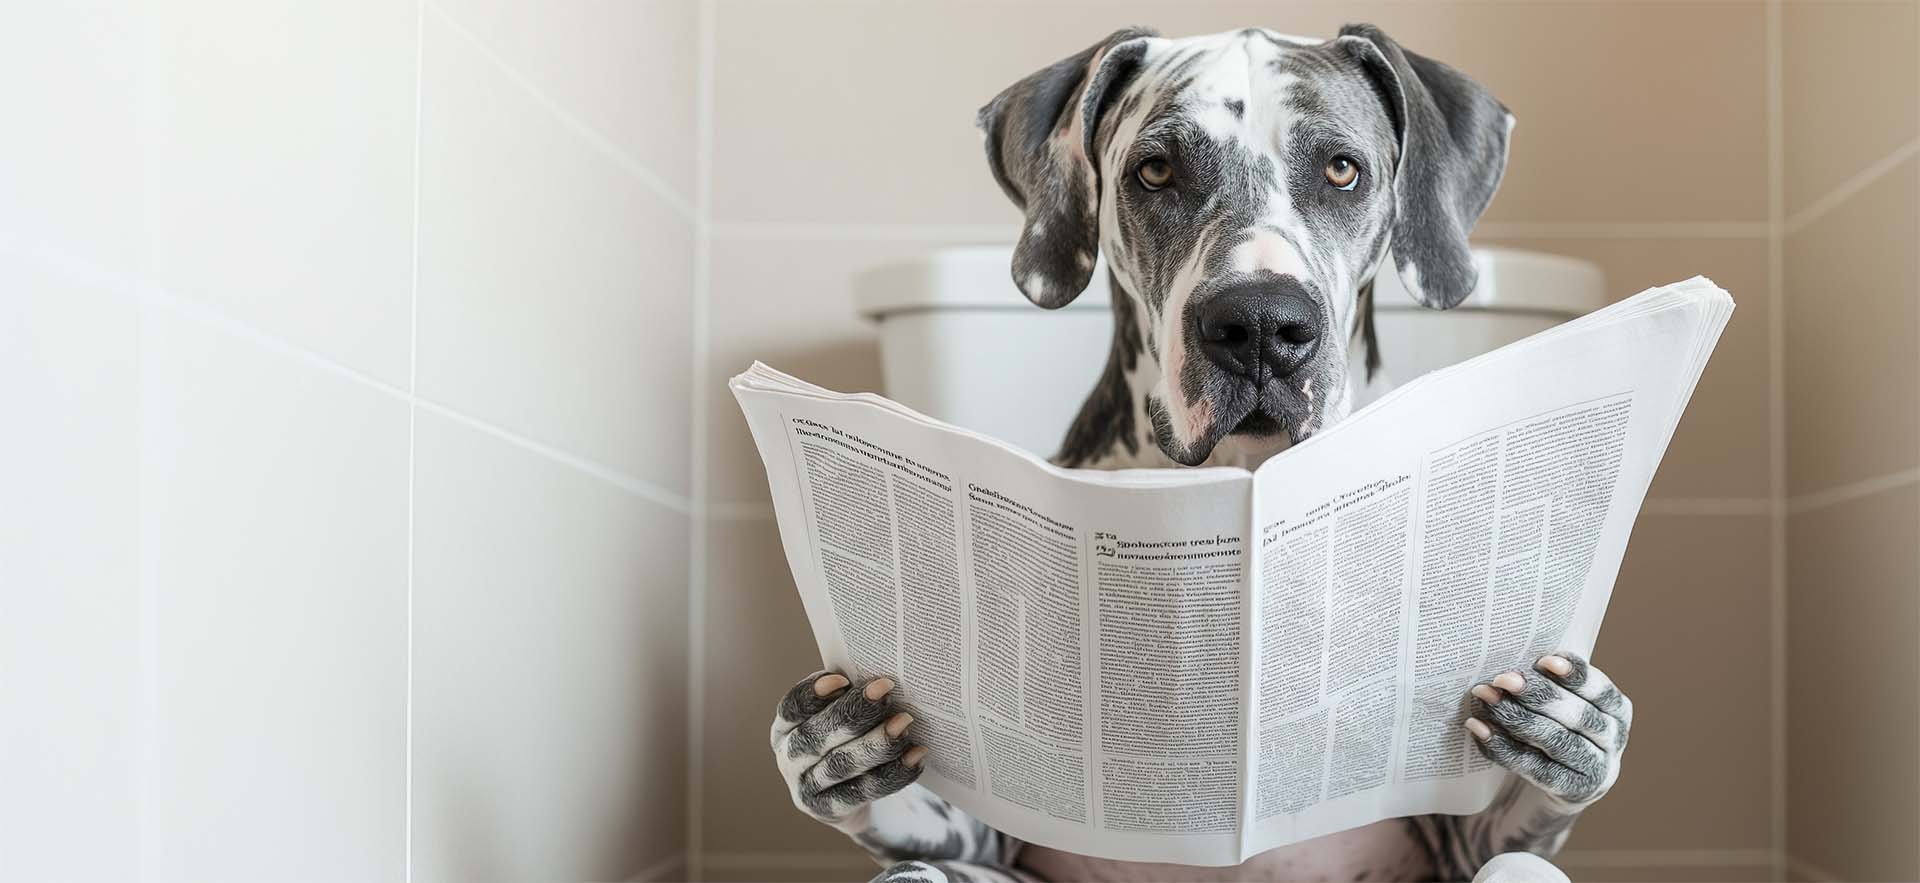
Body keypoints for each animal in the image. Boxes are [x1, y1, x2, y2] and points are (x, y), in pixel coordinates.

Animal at [768, 22, 1635, 883]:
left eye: (1342, 169)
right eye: (1156, 171)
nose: (1260, 325)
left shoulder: (1459, 839)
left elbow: (1513, 811)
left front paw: (1573, 727)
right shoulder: (993, 835)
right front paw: (837, 745)